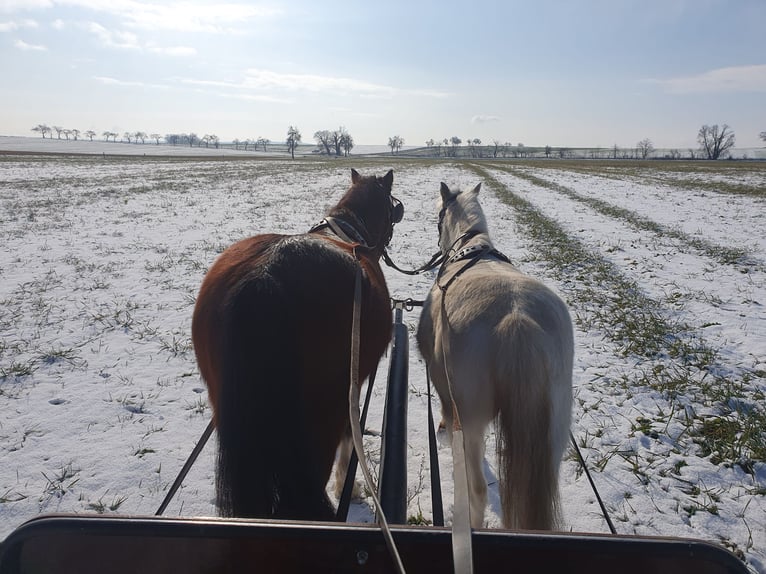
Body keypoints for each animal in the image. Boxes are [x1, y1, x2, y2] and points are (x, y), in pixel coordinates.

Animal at [192, 170, 402, 520]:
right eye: (391, 205)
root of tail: (265, 276)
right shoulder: (353, 386)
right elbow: (350, 435)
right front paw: (349, 487)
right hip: (319, 423)